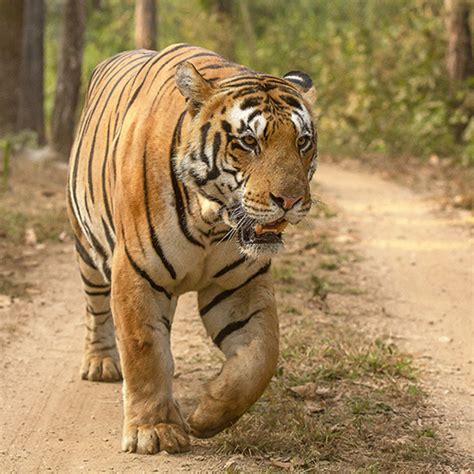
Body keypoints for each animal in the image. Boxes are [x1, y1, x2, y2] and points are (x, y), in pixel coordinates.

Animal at [66, 44, 316, 456]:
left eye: (302, 142)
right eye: (249, 142)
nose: (291, 200)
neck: (212, 221)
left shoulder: (240, 286)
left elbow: (260, 358)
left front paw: (207, 414)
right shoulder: (137, 272)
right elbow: (144, 349)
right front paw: (154, 431)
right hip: (87, 248)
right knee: (96, 308)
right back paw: (100, 363)